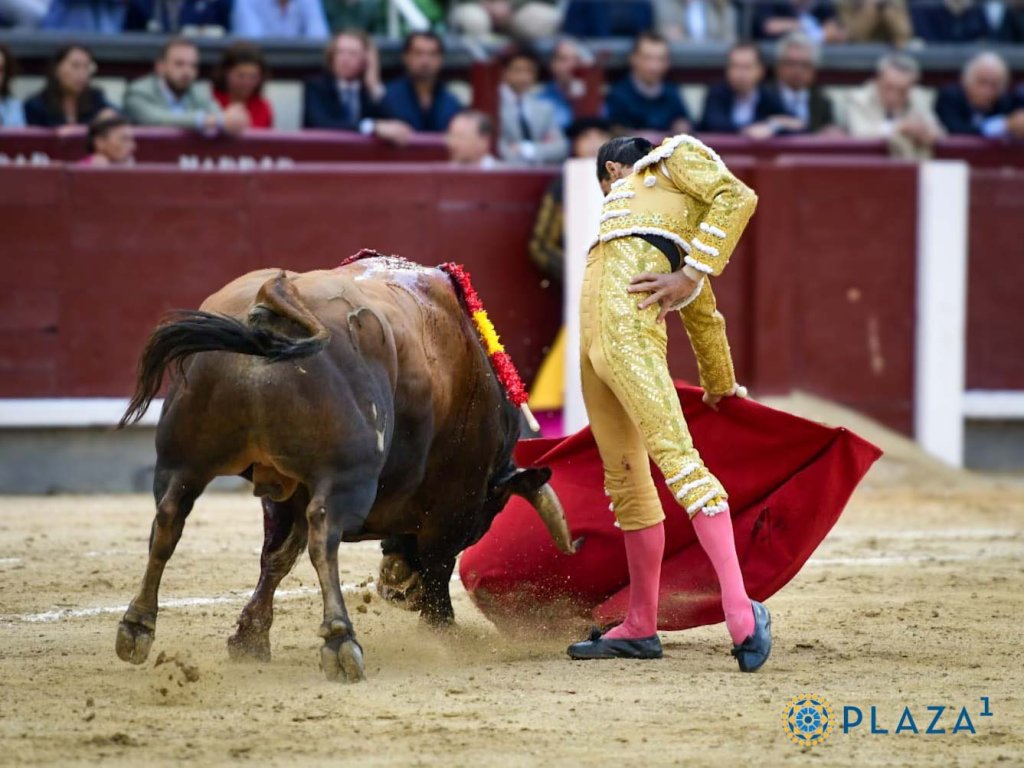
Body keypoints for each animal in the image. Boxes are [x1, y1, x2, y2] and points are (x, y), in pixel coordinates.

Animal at [114, 254, 576, 682]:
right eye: (486, 519)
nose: (397, 589)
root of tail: (274, 299)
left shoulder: (285, 489)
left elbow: (276, 558)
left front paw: (249, 638)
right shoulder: (450, 509)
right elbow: (438, 569)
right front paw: (444, 634)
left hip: (183, 461)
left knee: (168, 521)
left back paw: (136, 627)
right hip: (346, 478)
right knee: (324, 537)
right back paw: (341, 642)